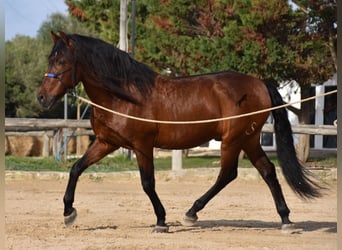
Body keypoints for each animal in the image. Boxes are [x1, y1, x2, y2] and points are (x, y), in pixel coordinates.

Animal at [37, 32, 320, 233]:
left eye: (61, 61)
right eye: (50, 59)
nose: (42, 97)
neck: (125, 96)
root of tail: (259, 83)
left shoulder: (142, 146)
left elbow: (147, 183)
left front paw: (161, 221)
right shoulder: (107, 142)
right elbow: (76, 168)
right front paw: (68, 212)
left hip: (233, 140)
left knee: (228, 174)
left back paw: (191, 213)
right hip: (249, 140)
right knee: (267, 171)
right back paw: (285, 219)